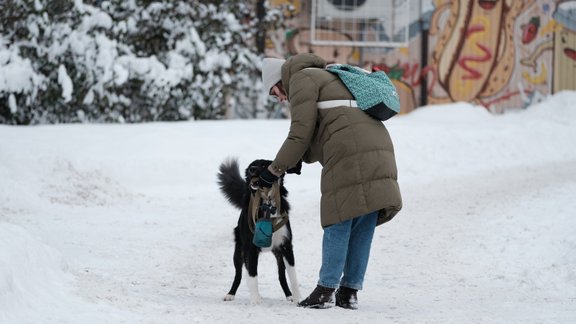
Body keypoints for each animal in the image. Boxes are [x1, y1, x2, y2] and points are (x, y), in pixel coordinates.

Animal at [217, 158, 302, 306]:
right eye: (251, 166)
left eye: (263, 165)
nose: (252, 170)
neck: (267, 205)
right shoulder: (250, 248)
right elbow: (252, 275)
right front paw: (255, 300)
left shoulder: (286, 246)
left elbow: (292, 275)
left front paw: (297, 298)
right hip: (238, 252)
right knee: (238, 274)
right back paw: (230, 294)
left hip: (278, 254)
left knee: (281, 275)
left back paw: (289, 296)